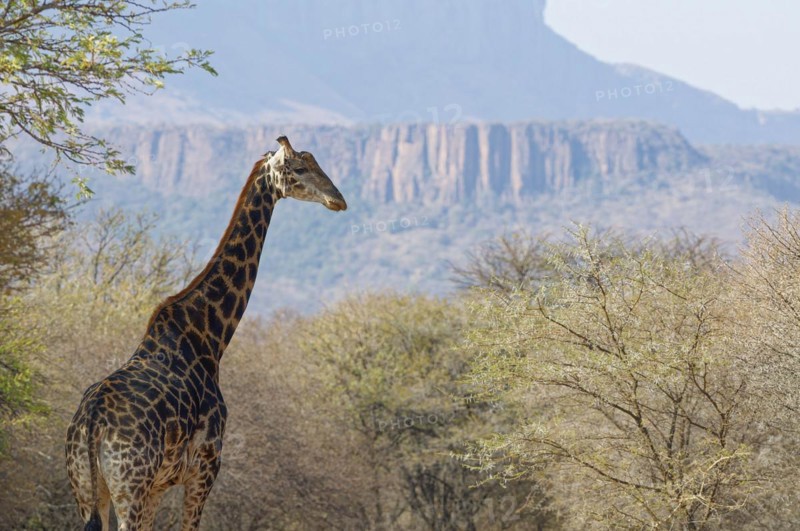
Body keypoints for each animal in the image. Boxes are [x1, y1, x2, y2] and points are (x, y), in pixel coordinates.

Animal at [65, 136, 347, 531]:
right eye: (301, 168)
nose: (339, 199)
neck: (209, 336)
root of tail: (91, 423)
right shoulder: (206, 466)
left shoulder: (159, 485)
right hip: (129, 487)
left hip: (87, 488)